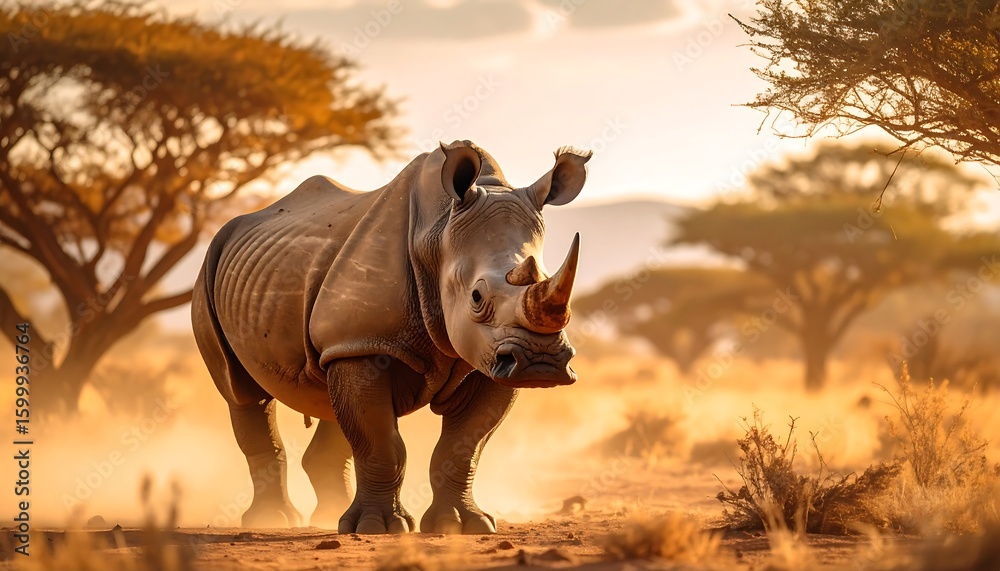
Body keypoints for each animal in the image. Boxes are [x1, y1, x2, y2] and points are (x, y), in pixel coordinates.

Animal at [191, 140, 590, 534]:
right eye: (477, 297)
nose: (541, 362)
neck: (437, 235)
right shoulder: (364, 342)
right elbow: (381, 443)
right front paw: (380, 528)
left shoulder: (486, 359)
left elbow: (463, 447)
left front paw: (465, 525)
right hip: (210, 272)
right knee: (243, 393)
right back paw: (275, 519)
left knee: (329, 398)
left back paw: (330, 516)